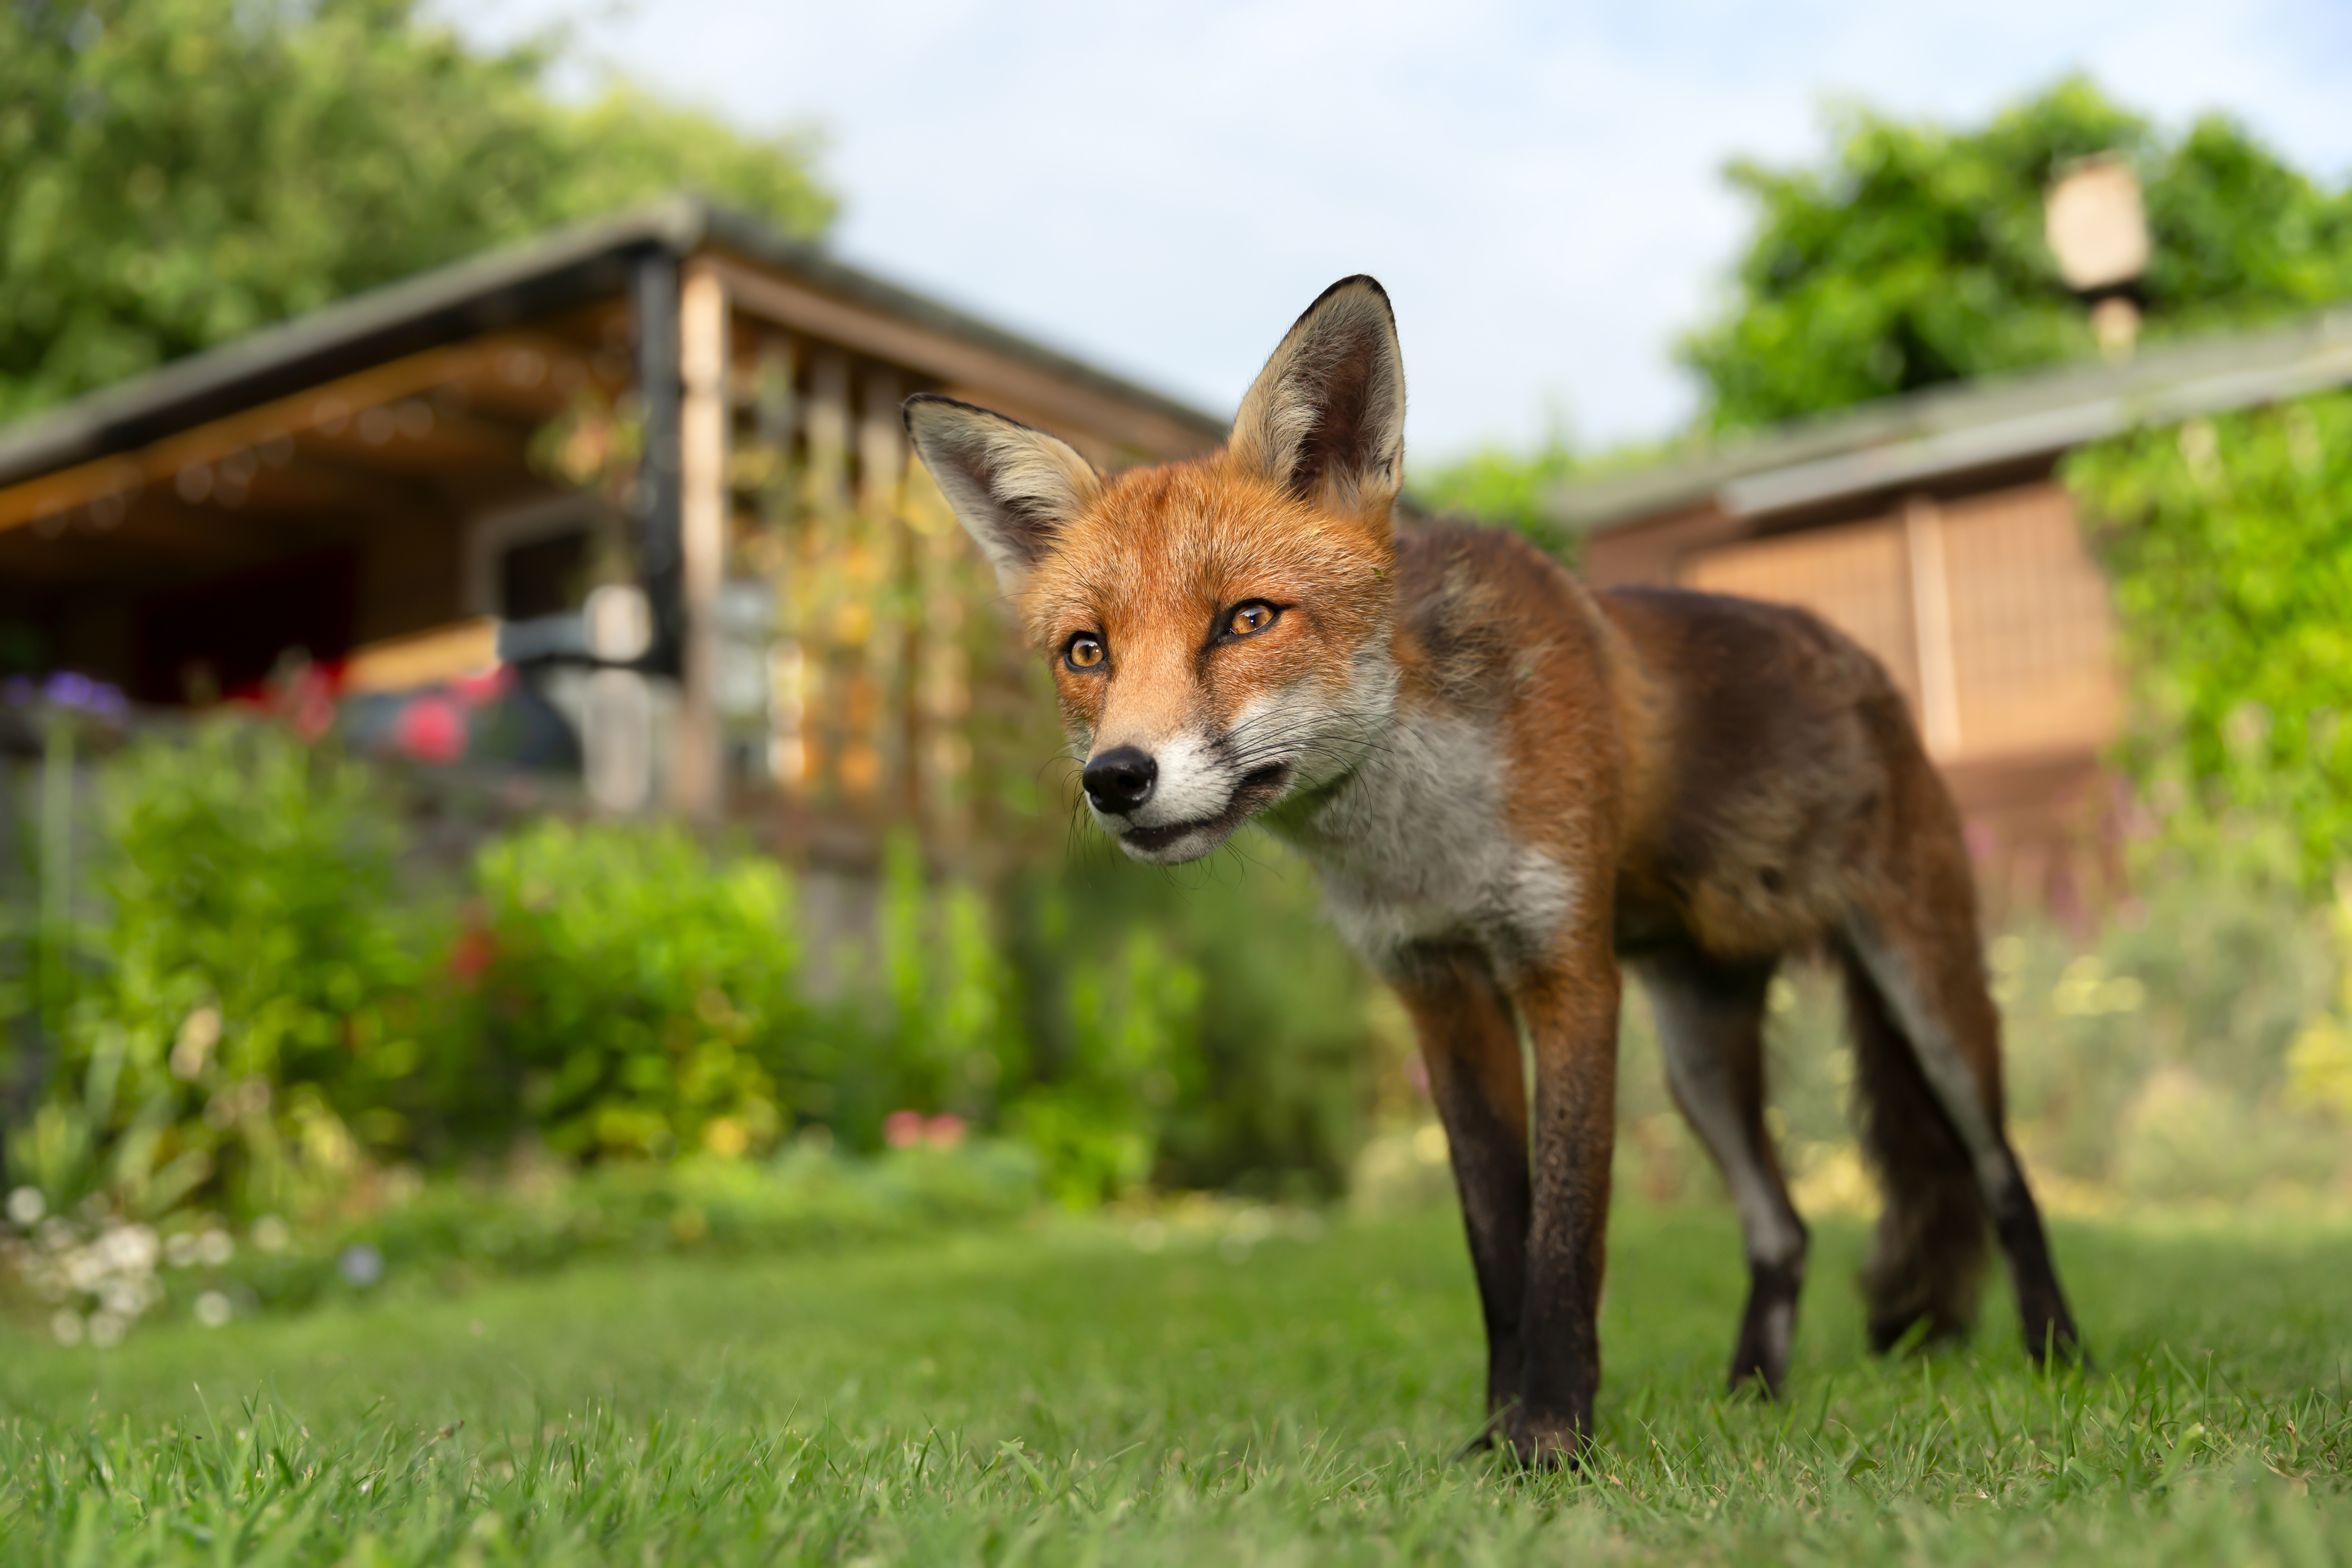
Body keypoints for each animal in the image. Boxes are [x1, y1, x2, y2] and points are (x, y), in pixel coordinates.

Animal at [898, 276, 2079, 1467]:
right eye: (1086, 651)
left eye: (1246, 620)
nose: (1116, 777)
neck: (1427, 844)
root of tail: (1863, 666)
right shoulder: (1437, 993)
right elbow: (1495, 1244)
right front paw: (1496, 1432)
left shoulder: (1566, 974)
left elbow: (1563, 1238)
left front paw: (1553, 1436)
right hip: (1699, 1056)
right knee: (1782, 1227)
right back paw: (1751, 1396)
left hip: (1924, 993)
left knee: (2005, 1178)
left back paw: (2055, 1359)